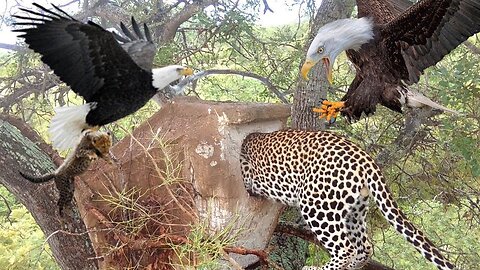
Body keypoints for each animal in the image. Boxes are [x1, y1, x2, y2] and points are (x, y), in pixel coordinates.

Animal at [242, 129, 456, 270]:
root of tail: (365, 158)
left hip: (318, 206)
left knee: (346, 248)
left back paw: (317, 268)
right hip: (354, 210)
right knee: (365, 247)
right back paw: (352, 266)